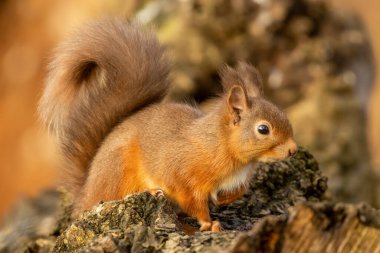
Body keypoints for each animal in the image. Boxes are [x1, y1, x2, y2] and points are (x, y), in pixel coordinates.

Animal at [40, 18, 298, 232]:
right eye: (263, 129)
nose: (293, 150)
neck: (219, 145)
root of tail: (85, 192)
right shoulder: (182, 173)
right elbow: (191, 200)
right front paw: (208, 223)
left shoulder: (236, 181)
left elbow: (239, 191)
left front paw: (221, 200)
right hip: (118, 171)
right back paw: (149, 191)